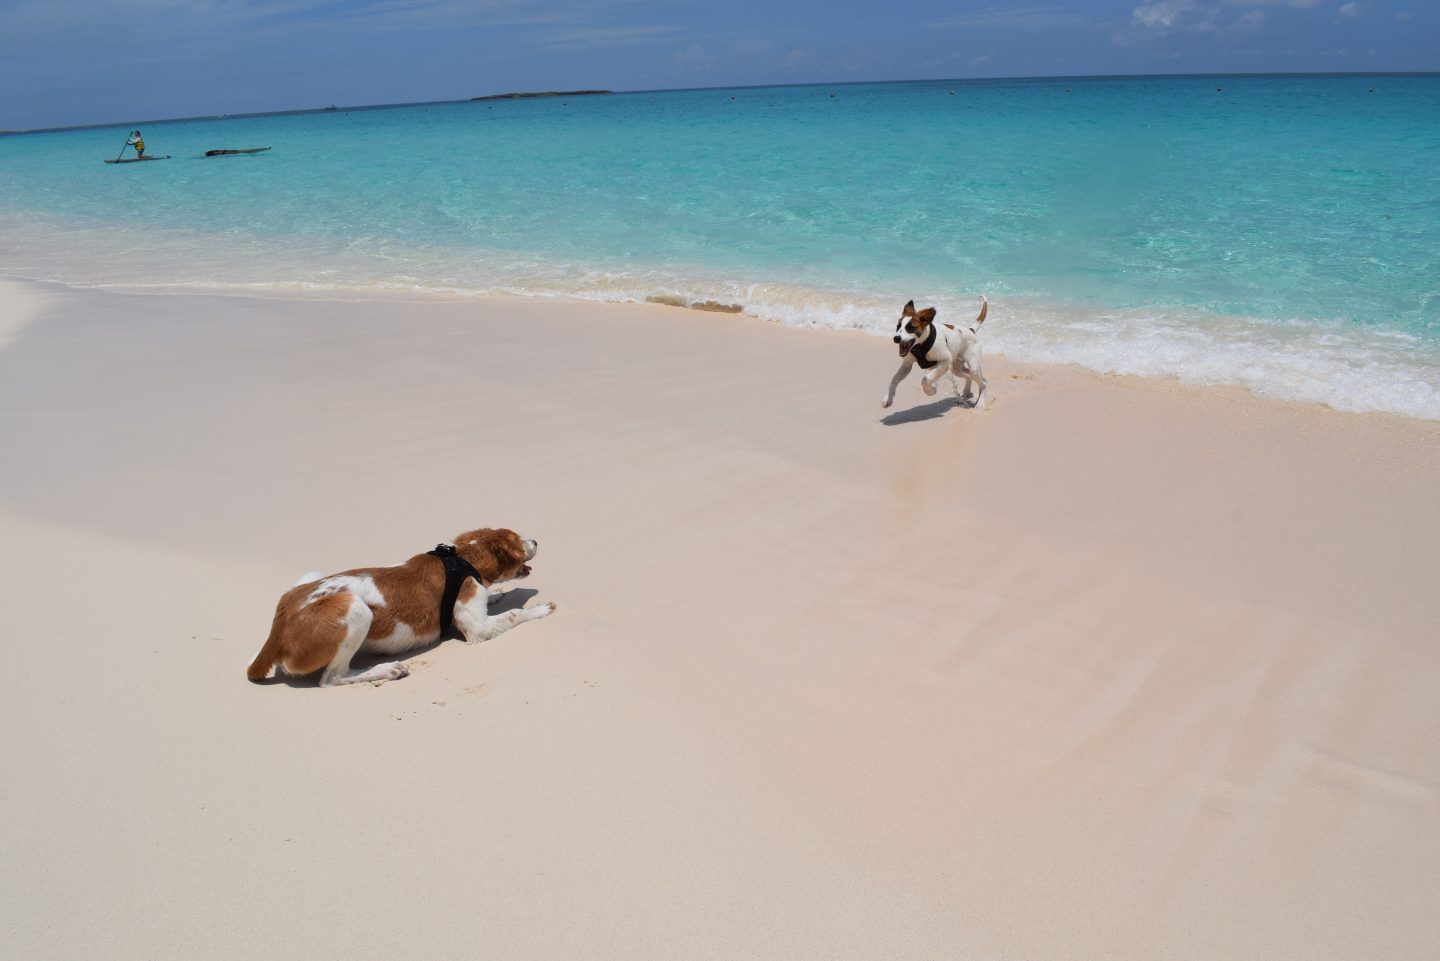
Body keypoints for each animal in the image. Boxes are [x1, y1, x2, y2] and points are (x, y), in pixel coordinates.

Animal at [247, 530, 550, 688]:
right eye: (519, 540)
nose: (537, 540)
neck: (462, 559)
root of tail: (275, 636)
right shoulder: (478, 629)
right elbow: (515, 613)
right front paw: (542, 609)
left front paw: (496, 595)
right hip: (355, 608)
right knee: (333, 678)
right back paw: (386, 670)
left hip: (309, 579)